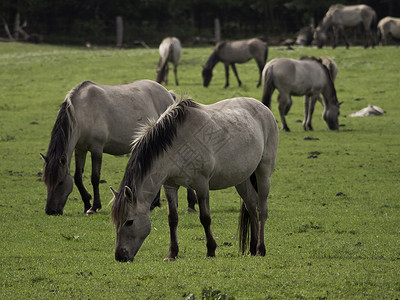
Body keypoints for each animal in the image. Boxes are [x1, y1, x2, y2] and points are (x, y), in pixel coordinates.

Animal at [41, 79, 196, 216]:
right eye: (46, 181)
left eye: (60, 182)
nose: (51, 211)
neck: (82, 111)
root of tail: (168, 94)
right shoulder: (80, 149)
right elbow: (78, 178)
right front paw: (86, 204)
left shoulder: (96, 149)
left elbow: (95, 178)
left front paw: (94, 207)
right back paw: (154, 204)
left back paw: (190, 205)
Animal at [109, 97, 278, 262]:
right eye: (115, 221)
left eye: (129, 221)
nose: (120, 256)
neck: (177, 143)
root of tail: (264, 108)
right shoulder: (170, 186)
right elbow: (173, 219)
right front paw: (172, 254)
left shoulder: (201, 184)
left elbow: (205, 218)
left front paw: (210, 250)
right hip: (242, 179)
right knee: (252, 205)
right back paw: (252, 249)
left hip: (263, 173)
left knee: (262, 210)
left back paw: (260, 249)